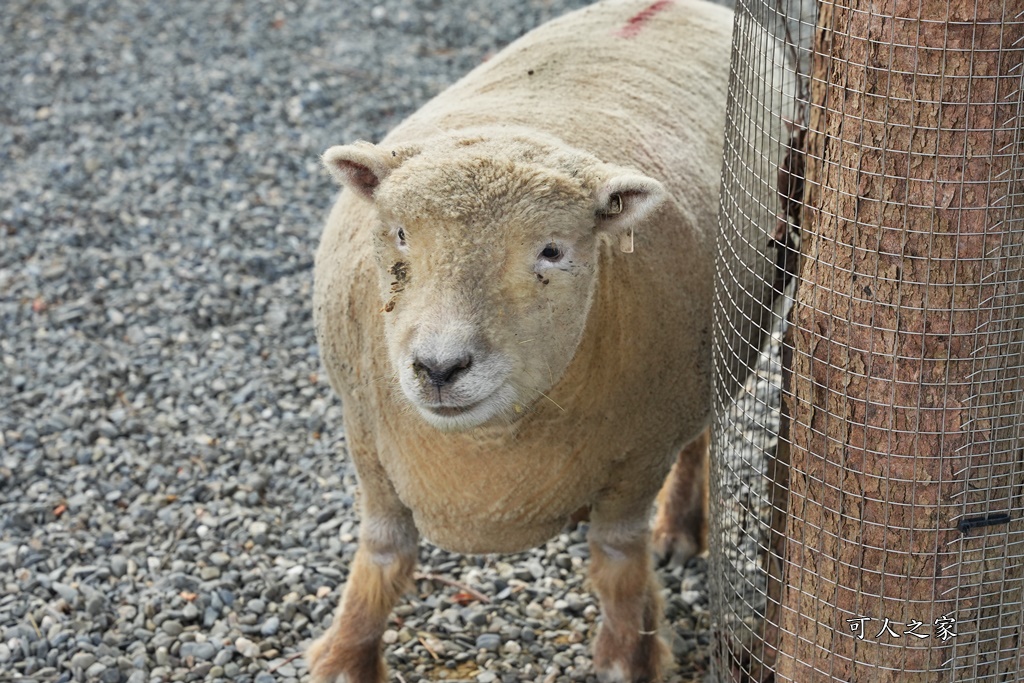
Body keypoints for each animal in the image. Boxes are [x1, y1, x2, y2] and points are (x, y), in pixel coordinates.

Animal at [307, 1, 778, 683]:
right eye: (398, 234)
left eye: (552, 252)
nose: (439, 367)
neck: (485, 445)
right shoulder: (367, 439)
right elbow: (384, 553)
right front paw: (346, 656)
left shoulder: (638, 457)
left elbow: (618, 560)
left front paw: (627, 655)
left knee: (700, 440)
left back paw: (678, 530)